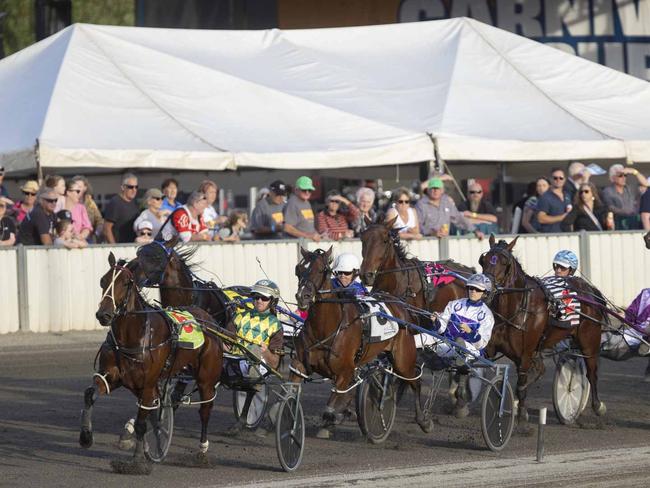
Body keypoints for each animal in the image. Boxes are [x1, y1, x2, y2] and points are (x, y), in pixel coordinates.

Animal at [78, 254, 223, 474]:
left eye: (126, 282)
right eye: (103, 281)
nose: (104, 315)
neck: (132, 337)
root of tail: (209, 320)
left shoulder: (147, 384)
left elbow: (141, 423)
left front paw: (136, 461)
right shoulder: (112, 376)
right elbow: (90, 394)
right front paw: (86, 436)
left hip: (206, 379)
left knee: (205, 411)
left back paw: (202, 452)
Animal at [288, 246, 430, 440]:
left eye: (322, 270)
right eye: (298, 269)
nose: (303, 296)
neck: (325, 329)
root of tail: (398, 304)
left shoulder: (345, 371)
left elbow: (330, 408)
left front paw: (336, 418)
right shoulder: (299, 366)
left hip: (403, 360)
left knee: (415, 381)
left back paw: (423, 420)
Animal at [478, 235, 604, 424]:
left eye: (504, 262)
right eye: (483, 260)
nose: (486, 290)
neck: (516, 309)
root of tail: (589, 290)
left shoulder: (525, 354)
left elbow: (521, 384)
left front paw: (521, 414)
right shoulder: (492, 350)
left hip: (589, 342)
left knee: (591, 372)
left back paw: (597, 405)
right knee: (542, 368)